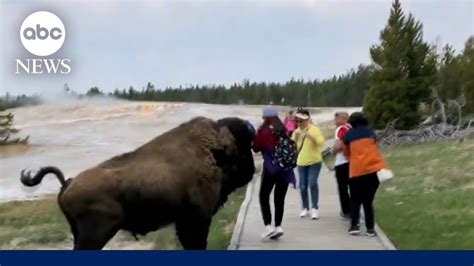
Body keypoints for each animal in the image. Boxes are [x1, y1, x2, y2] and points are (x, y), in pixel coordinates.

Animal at [19, 116, 256, 249]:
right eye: (244, 149)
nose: (253, 170)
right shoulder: (197, 219)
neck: (215, 152)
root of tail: (66, 184)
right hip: (95, 234)